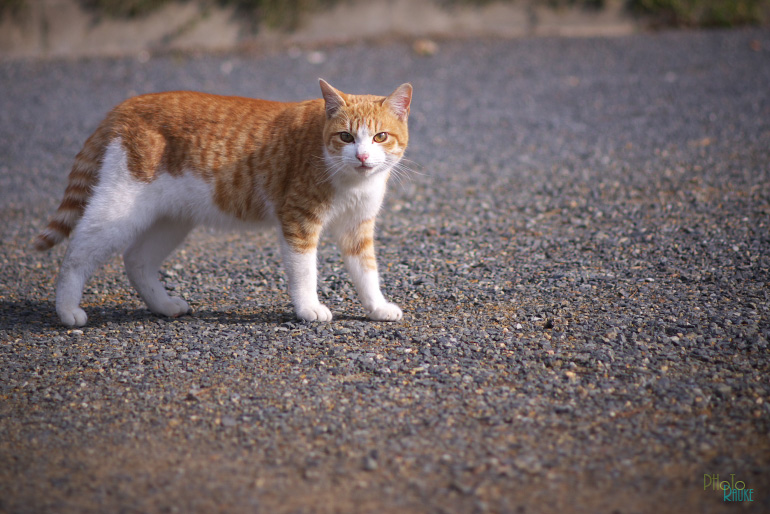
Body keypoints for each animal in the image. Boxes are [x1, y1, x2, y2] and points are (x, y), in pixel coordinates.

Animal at [33, 79, 412, 328]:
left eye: (380, 137)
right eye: (345, 137)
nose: (362, 156)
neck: (351, 180)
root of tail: (129, 103)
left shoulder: (356, 228)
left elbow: (367, 271)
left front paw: (376, 307)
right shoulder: (298, 221)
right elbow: (305, 271)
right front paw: (309, 308)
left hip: (171, 219)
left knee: (136, 259)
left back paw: (163, 305)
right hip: (119, 208)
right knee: (77, 253)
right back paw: (67, 310)